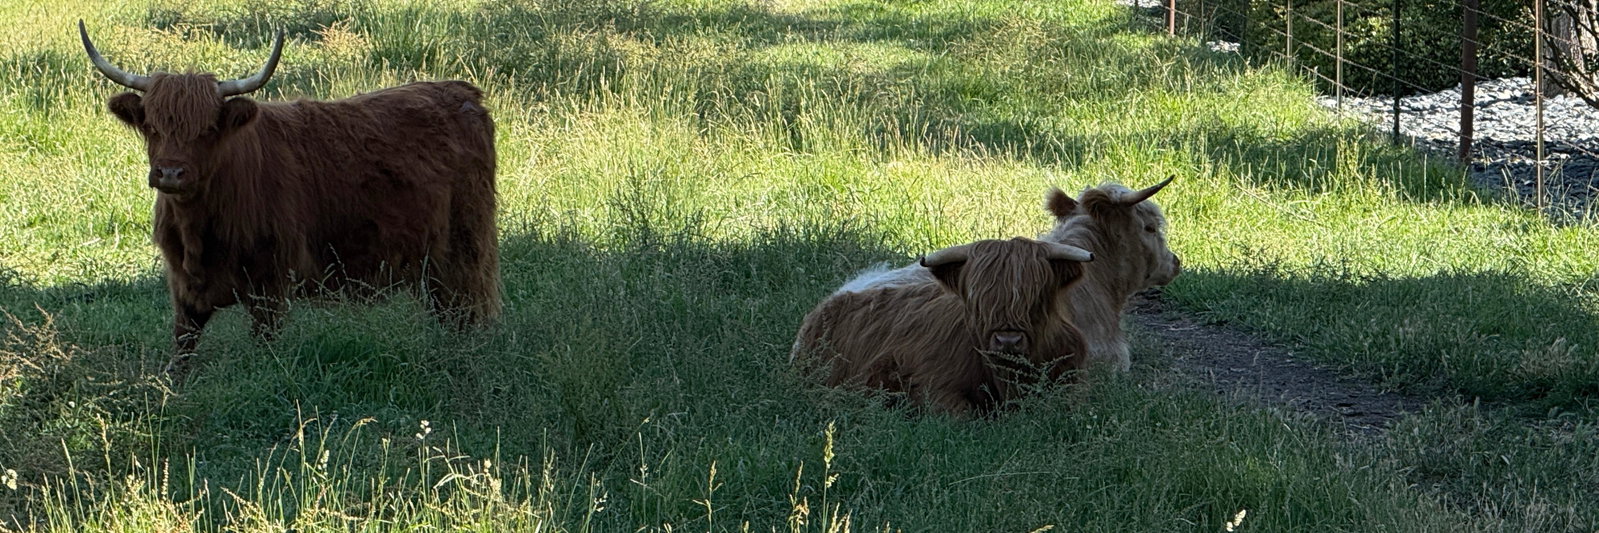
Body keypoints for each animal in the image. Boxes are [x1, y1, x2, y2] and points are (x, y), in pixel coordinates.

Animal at [79, 21, 501, 378]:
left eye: (208, 130)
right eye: (152, 127)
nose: (169, 173)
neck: (198, 228)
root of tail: (462, 93)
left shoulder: (270, 284)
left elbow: (265, 346)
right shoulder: (184, 287)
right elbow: (181, 350)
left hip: (464, 249)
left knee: (468, 309)